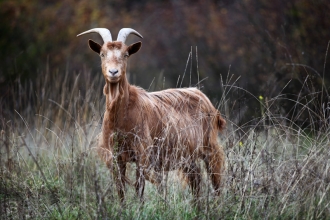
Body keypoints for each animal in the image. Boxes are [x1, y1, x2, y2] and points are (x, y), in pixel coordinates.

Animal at [77, 27, 227, 203]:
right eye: (102, 54)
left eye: (126, 54)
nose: (113, 72)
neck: (121, 118)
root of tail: (206, 99)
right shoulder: (116, 157)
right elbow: (120, 190)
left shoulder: (142, 153)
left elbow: (139, 187)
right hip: (188, 156)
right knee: (196, 182)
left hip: (209, 147)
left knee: (215, 178)